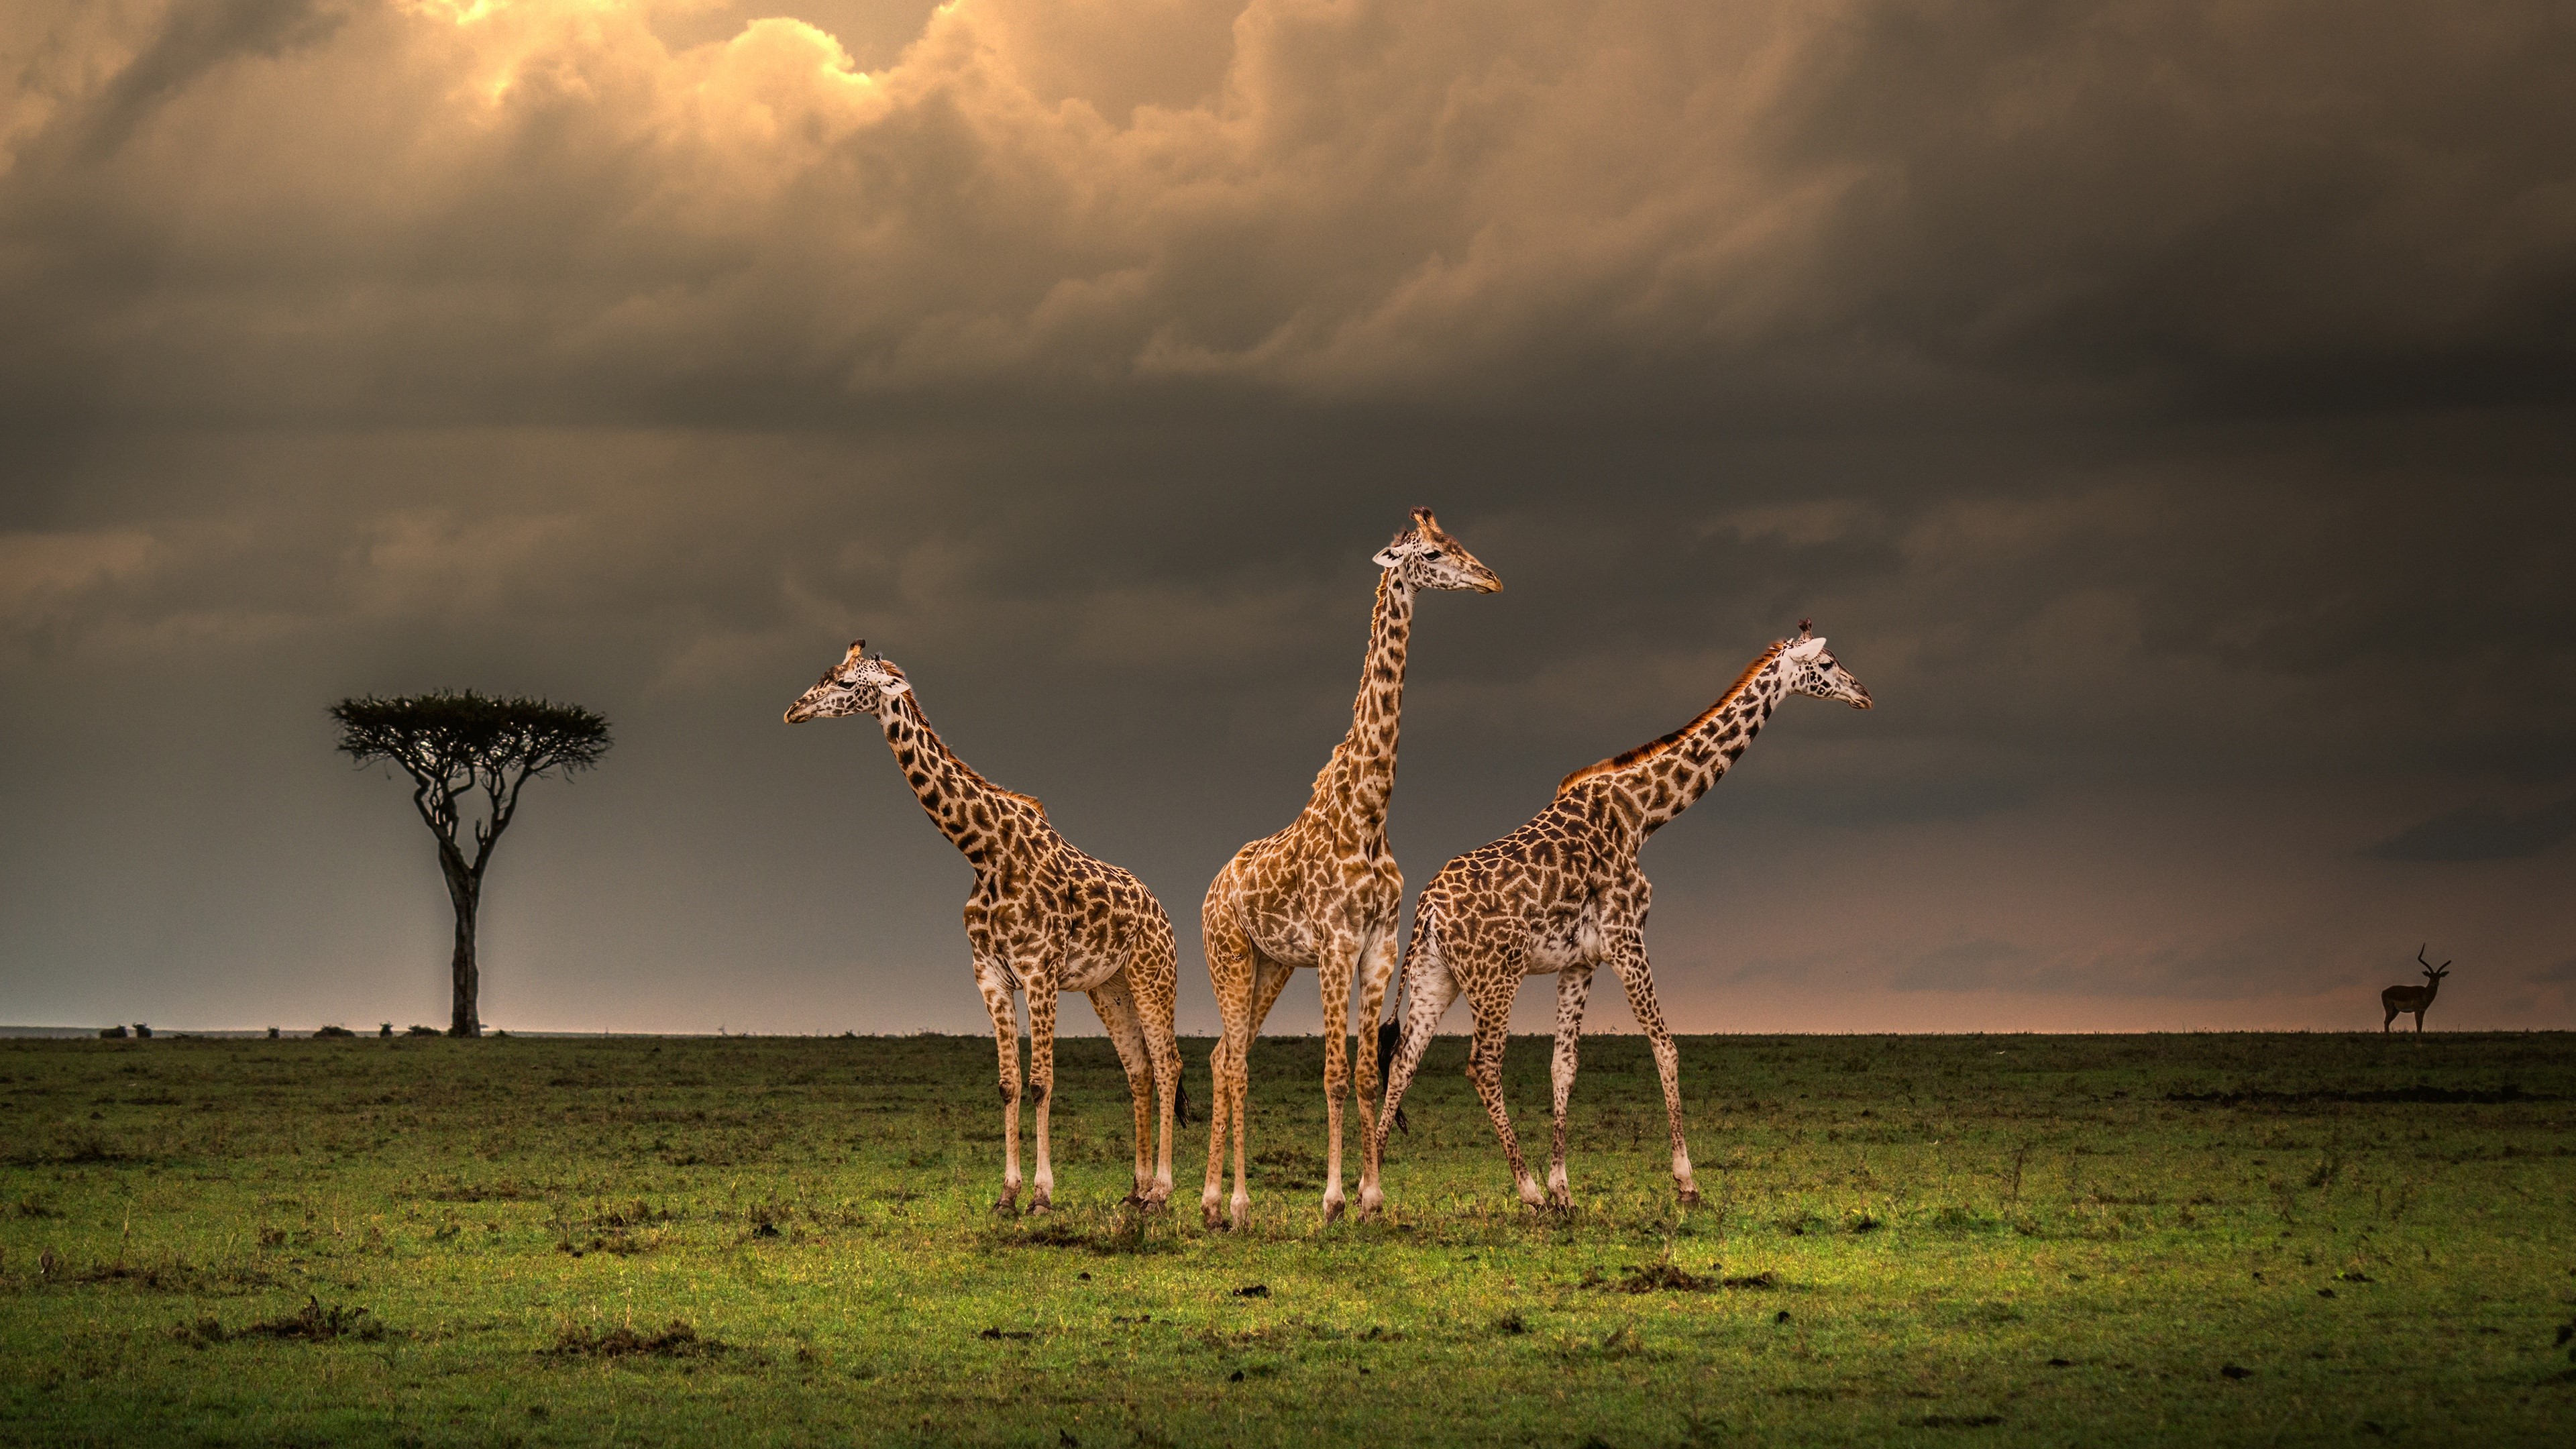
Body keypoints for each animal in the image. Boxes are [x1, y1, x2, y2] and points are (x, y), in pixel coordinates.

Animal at [786, 641, 1185, 1212]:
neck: (984, 853)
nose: (793, 711)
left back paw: (1162, 1193)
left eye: (845, 684)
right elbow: (1008, 1084)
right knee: (1140, 1070)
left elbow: (1040, 1082)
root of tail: (1162, 912)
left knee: (1169, 1064)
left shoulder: (1040, 972)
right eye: (827, 672)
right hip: (1110, 987)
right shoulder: (990, 975)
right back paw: (1137, 1189)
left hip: (1154, 974)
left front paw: (1041, 1196)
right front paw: (1006, 1195)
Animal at [1200, 508, 1503, 1229]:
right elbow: (1335, 1076)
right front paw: (1333, 1199)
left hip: (1270, 965)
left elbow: (1368, 1076)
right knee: (1234, 1063)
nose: (1490, 578)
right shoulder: (1336, 946)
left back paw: (1213, 1201)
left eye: (1455, 542)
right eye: (1431, 553)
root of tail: (1211, 890)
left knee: (1226, 1055)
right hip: (1229, 956)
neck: (1369, 813)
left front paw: (1371, 1198)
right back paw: (1234, 1203)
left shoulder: (1379, 948)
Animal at [1373, 625, 1872, 1213]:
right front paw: (1686, 1182)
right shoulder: (1626, 938)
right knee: (1482, 1064)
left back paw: (1370, 1192)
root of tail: (1426, 910)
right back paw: (1526, 1191)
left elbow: (1563, 1067)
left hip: (1438, 976)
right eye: (1829, 663)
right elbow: (1666, 1047)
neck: (1642, 814)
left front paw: (1565, 1190)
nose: (1864, 695)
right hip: (1495, 977)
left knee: (1403, 1062)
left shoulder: (1581, 962)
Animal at [2380, 945, 2451, 1033]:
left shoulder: (2423, 1011)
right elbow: (2418, 1026)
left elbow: (2420, 1027)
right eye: (2430, 977)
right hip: (2390, 1009)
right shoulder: (2416, 1010)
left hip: (2396, 1011)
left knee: (2387, 1022)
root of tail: (2384, 992)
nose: (2435, 984)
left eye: (2439, 977)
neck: (2424, 993)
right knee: (2386, 1022)